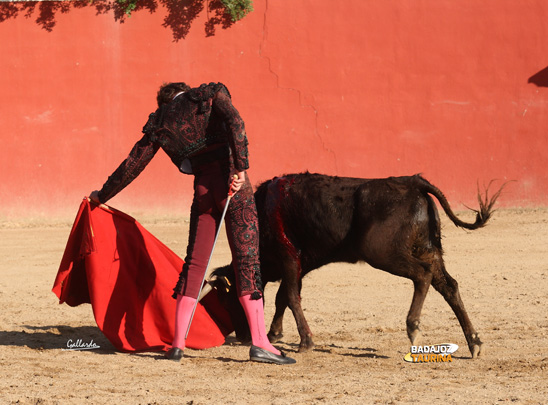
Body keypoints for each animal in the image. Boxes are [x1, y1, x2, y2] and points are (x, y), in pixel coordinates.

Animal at [207, 171, 506, 356]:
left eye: (228, 299)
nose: (243, 336)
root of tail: (411, 181)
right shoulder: (300, 264)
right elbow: (285, 297)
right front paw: (275, 333)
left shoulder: (289, 257)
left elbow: (290, 296)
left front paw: (305, 341)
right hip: (428, 249)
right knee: (448, 284)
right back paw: (474, 342)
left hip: (381, 253)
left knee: (423, 275)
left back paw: (414, 329)